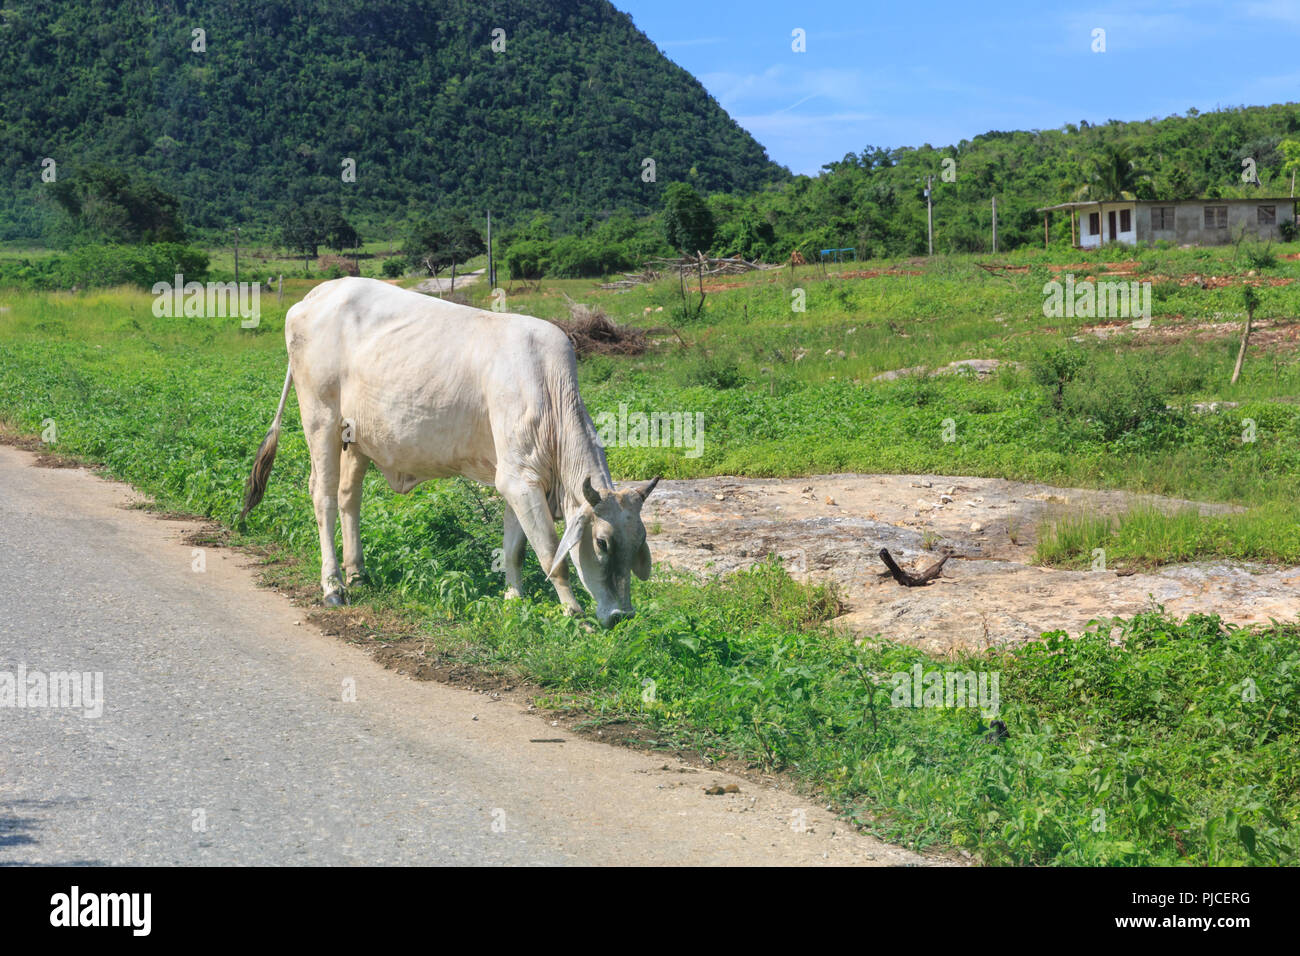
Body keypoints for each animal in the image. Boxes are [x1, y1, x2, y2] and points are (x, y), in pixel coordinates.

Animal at [239, 277, 655, 629]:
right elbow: (553, 556)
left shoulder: (517, 480)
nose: (621, 615)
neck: (550, 389)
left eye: (638, 541)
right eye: (601, 542)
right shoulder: (520, 480)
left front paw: (514, 598)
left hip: (355, 437)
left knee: (348, 497)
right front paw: (575, 614)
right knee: (322, 495)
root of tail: (316, 295)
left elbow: (515, 549)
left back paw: (357, 573)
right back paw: (333, 586)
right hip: (321, 419)